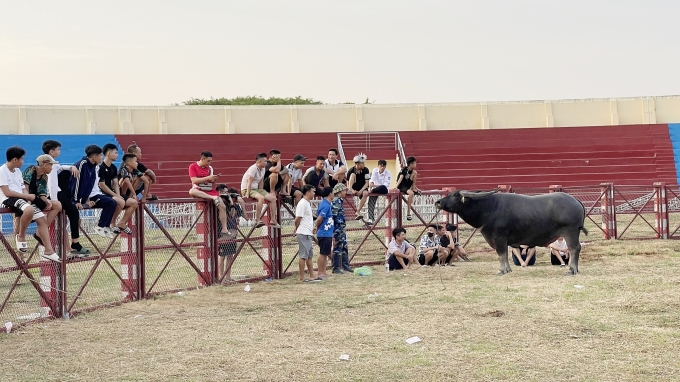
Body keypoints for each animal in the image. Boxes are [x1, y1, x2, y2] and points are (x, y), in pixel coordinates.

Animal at [436, 190, 588, 276]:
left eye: (455, 195)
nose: (438, 202)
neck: (488, 208)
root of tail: (575, 200)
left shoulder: (499, 237)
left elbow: (501, 254)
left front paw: (502, 271)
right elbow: (506, 254)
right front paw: (508, 269)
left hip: (570, 232)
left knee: (574, 248)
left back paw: (571, 270)